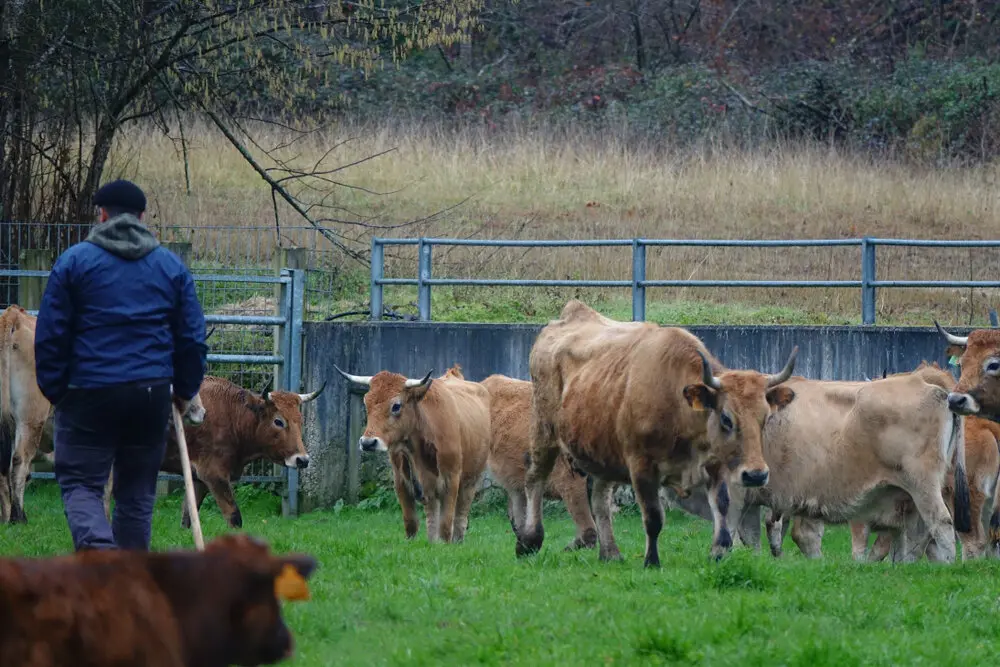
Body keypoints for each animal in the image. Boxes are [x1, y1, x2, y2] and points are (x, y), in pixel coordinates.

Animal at [334, 363, 492, 544]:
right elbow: (411, 522)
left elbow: (446, 524)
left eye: (396, 405)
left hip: (471, 480)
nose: (368, 443)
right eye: (366, 402)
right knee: (432, 514)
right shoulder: (402, 481)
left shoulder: (451, 479)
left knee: (460, 516)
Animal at [516, 299, 799, 567]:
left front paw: (719, 552)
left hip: (603, 451)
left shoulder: (715, 464)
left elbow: (721, 505)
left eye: (765, 418)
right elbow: (653, 517)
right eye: (726, 418)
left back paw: (610, 553)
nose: (756, 475)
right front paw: (651, 561)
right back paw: (528, 540)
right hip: (543, 430)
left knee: (599, 498)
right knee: (535, 479)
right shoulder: (641, 465)